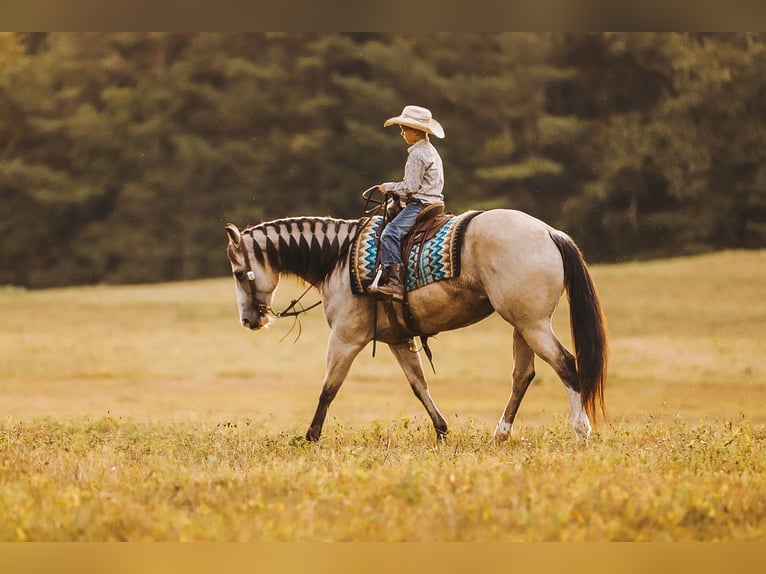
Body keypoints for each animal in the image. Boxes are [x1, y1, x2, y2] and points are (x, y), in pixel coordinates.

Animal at [225, 202, 608, 446]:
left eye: (239, 273)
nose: (249, 320)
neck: (338, 258)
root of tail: (550, 232)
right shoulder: (398, 339)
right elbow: (418, 385)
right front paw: (441, 431)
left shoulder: (346, 337)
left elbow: (329, 388)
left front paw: (310, 436)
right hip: (524, 324)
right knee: (523, 376)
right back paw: (500, 434)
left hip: (533, 324)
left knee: (566, 364)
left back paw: (581, 431)